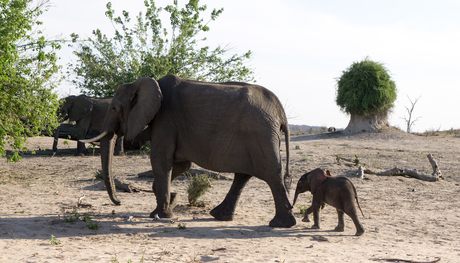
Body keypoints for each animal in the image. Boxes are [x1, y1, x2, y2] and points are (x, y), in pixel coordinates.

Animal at [82, 75, 294, 228]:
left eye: (114, 108)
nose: (118, 203)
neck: (144, 83)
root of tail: (280, 111)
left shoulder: (165, 119)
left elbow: (160, 159)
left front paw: (162, 214)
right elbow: (181, 165)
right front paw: (164, 206)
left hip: (260, 134)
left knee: (271, 174)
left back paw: (280, 224)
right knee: (244, 175)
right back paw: (220, 216)